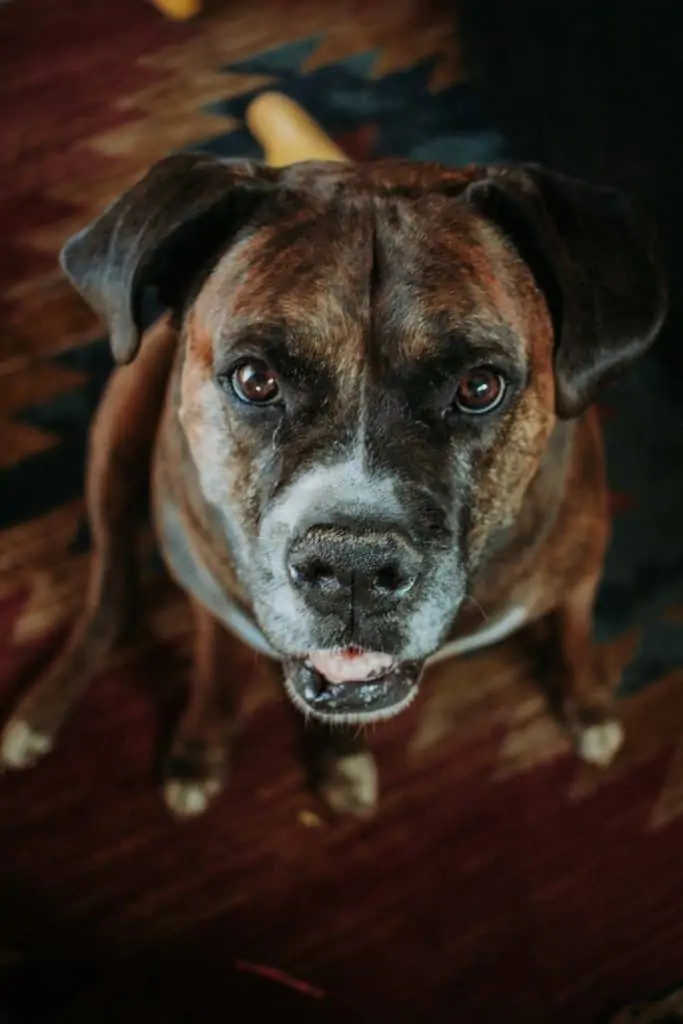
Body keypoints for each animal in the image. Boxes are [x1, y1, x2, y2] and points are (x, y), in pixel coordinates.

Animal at [0, 155, 663, 819]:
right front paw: (201, 746)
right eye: (254, 379)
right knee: (110, 592)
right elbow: (216, 670)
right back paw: (39, 714)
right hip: (118, 430)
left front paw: (589, 705)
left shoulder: (580, 571)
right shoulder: (210, 599)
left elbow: (574, 634)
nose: (353, 567)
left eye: (479, 387)